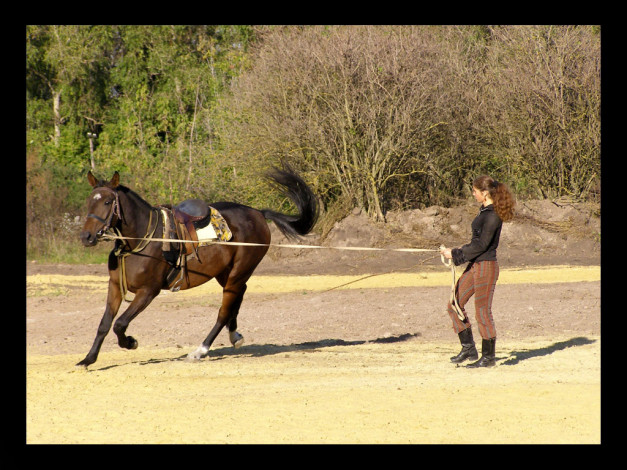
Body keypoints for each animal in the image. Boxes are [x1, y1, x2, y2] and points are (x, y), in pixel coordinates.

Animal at [76, 167, 318, 370]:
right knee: (238, 296)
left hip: (239, 272)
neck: (140, 239)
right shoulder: (115, 287)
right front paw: (88, 359)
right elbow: (105, 324)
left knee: (224, 310)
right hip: (226, 273)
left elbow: (120, 324)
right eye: (89, 201)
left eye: (108, 202)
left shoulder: (148, 291)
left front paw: (131, 342)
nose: (86, 236)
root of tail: (258, 213)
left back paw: (200, 350)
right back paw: (234, 336)